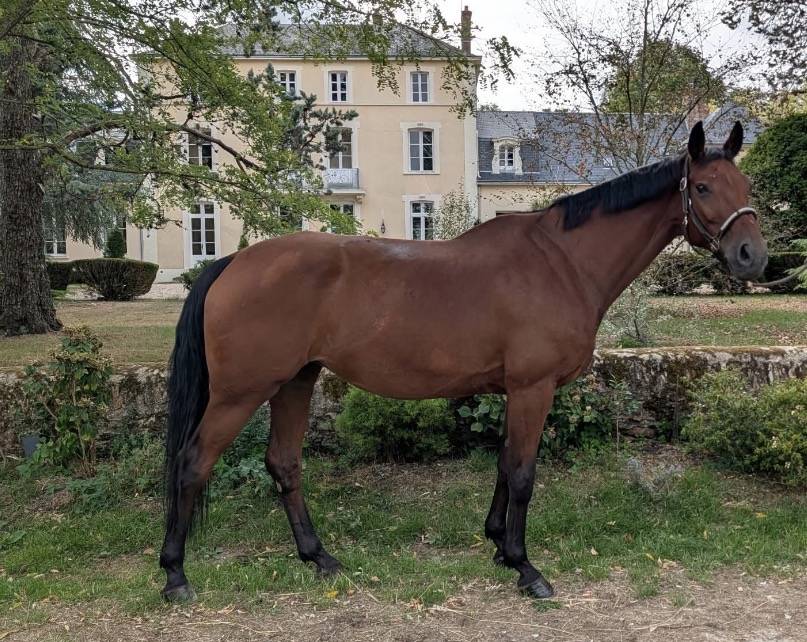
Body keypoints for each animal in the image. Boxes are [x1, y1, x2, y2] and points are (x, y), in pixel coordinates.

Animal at [160, 121, 767, 601]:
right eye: (704, 187)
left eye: (746, 185)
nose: (752, 257)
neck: (562, 263)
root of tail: (233, 261)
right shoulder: (533, 387)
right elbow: (522, 472)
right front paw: (525, 567)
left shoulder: (514, 391)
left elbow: (503, 463)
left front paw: (499, 545)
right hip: (242, 392)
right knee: (192, 464)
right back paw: (175, 576)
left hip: (295, 382)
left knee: (284, 464)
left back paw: (319, 558)